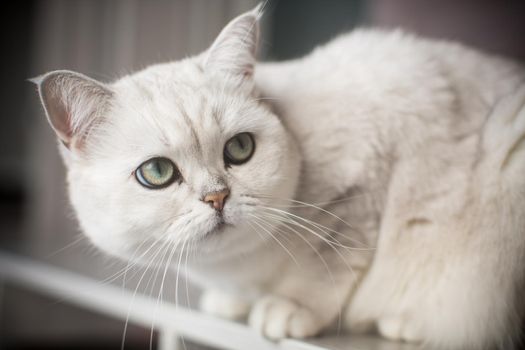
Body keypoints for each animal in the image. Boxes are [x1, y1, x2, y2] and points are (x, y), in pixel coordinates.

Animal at [33, 5, 524, 350]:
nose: (217, 197)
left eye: (239, 149)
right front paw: (231, 305)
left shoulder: (363, 188)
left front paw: (286, 309)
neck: (237, 268)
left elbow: (327, 266)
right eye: (157, 172)